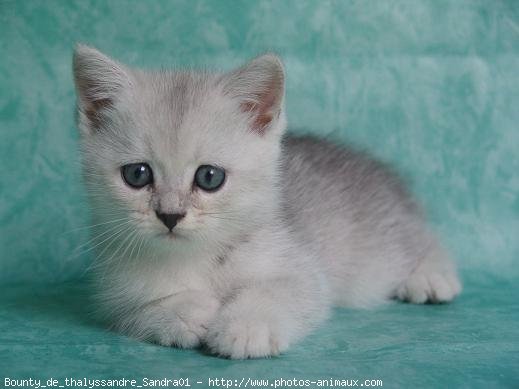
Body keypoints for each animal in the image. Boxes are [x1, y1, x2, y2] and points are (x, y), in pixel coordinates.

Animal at [73, 44, 464, 358]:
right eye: (137, 175)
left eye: (209, 177)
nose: (170, 215)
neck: (194, 257)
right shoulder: (112, 296)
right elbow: (143, 307)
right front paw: (188, 312)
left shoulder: (301, 271)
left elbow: (277, 293)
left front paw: (244, 328)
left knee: (422, 241)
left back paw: (431, 277)